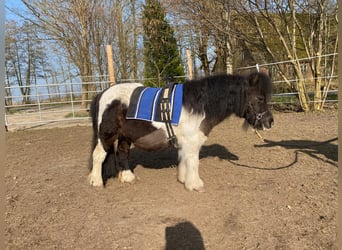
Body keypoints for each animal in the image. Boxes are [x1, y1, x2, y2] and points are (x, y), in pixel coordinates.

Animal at [89, 72, 274, 191]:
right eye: (260, 98)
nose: (270, 122)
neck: (200, 105)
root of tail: (102, 93)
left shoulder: (185, 142)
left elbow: (185, 159)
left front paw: (184, 179)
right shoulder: (192, 140)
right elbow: (193, 161)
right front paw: (195, 184)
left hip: (125, 136)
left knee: (122, 153)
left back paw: (128, 177)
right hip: (106, 134)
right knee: (98, 155)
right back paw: (96, 182)